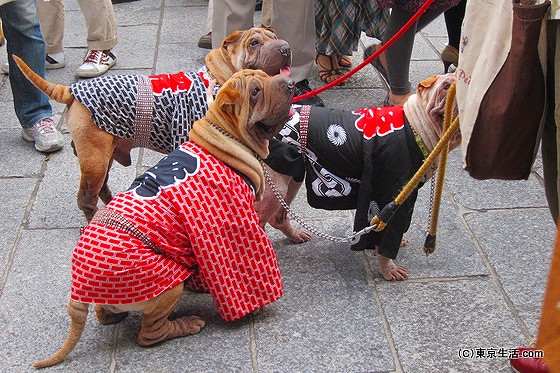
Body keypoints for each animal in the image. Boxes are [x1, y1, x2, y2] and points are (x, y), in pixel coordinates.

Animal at [13, 28, 294, 224]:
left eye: (275, 36)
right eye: (255, 43)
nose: (286, 48)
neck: (220, 78)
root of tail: (70, 90)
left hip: (103, 153)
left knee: (101, 187)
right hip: (95, 156)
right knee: (87, 197)